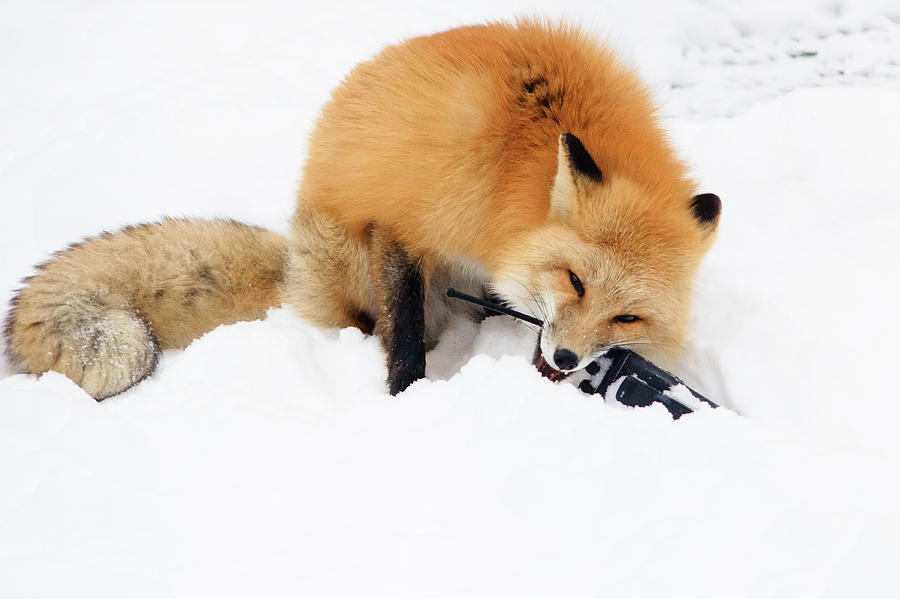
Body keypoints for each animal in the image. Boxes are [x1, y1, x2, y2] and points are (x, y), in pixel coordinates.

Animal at [0, 22, 716, 398]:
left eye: (627, 317)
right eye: (574, 281)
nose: (566, 359)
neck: (517, 158)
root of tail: (292, 259)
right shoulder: (404, 222)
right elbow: (403, 334)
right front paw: (407, 396)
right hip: (346, 257)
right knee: (368, 321)